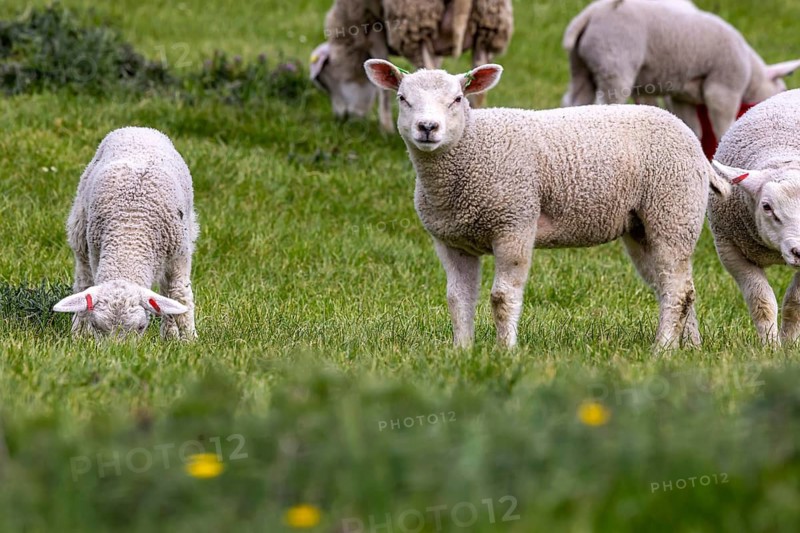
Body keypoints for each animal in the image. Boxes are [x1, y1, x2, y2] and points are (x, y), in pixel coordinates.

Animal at [53, 127, 199, 340]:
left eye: (141, 327)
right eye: (97, 325)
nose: (117, 349)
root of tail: (139, 128)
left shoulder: (179, 254)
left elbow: (179, 294)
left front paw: (188, 339)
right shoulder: (96, 250)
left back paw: (170, 334)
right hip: (80, 229)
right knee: (84, 281)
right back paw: (79, 330)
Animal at [310, 0, 513, 132]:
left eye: (324, 80)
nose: (342, 118)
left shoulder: (372, 23)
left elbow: (382, 79)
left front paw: (385, 129)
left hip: (415, 19)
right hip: (488, 25)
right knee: (479, 93)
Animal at [364, 59, 728, 350]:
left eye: (457, 99)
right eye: (402, 99)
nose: (428, 127)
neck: (471, 148)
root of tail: (695, 145)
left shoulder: (514, 222)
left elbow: (502, 297)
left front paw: (505, 352)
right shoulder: (451, 241)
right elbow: (457, 299)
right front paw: (461, 352)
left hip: (673, 210)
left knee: (676, 289)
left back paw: (662, 350)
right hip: (644, 226)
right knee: (677, 287)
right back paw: (689, 347)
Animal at [561, 0, 800, 157]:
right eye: (782, 91)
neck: (751, 74)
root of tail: (591, 13)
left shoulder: (682, 98)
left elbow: (694, 128)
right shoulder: (722, 90)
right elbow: (723, 125)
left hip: (581, 68)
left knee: (574, 101)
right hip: (615, 63)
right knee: (606, 103)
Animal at [708, 89, 800, 346]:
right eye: (767, 207)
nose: (799, 252)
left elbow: (794, 303)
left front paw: (790, 343)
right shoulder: (729, 248)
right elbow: (762, 302)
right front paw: (770, 345)